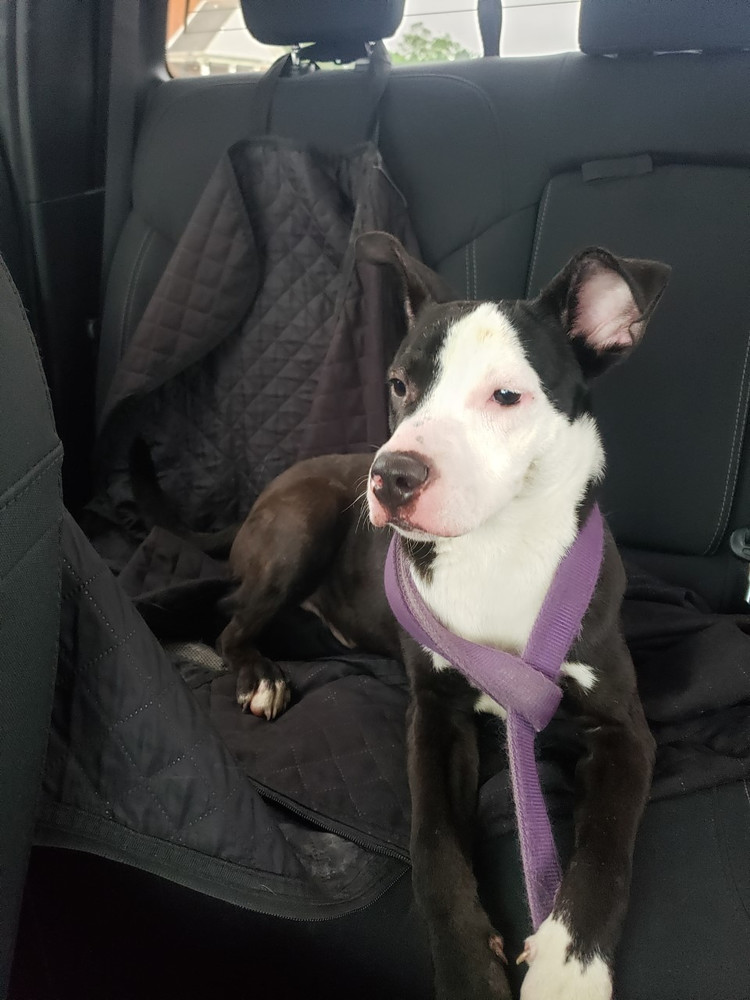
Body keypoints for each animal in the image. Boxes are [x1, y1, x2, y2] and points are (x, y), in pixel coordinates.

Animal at [147, 233, 669, 1000]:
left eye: (507, 395)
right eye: (399, 384)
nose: (391, 477)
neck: (497, 548)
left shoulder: (623, 728)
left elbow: (603, 853)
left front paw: (568, 968)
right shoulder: (435, 714)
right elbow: (433, 845)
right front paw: (467, 968)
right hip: (303, 523)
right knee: (231, 619)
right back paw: (260, 676)